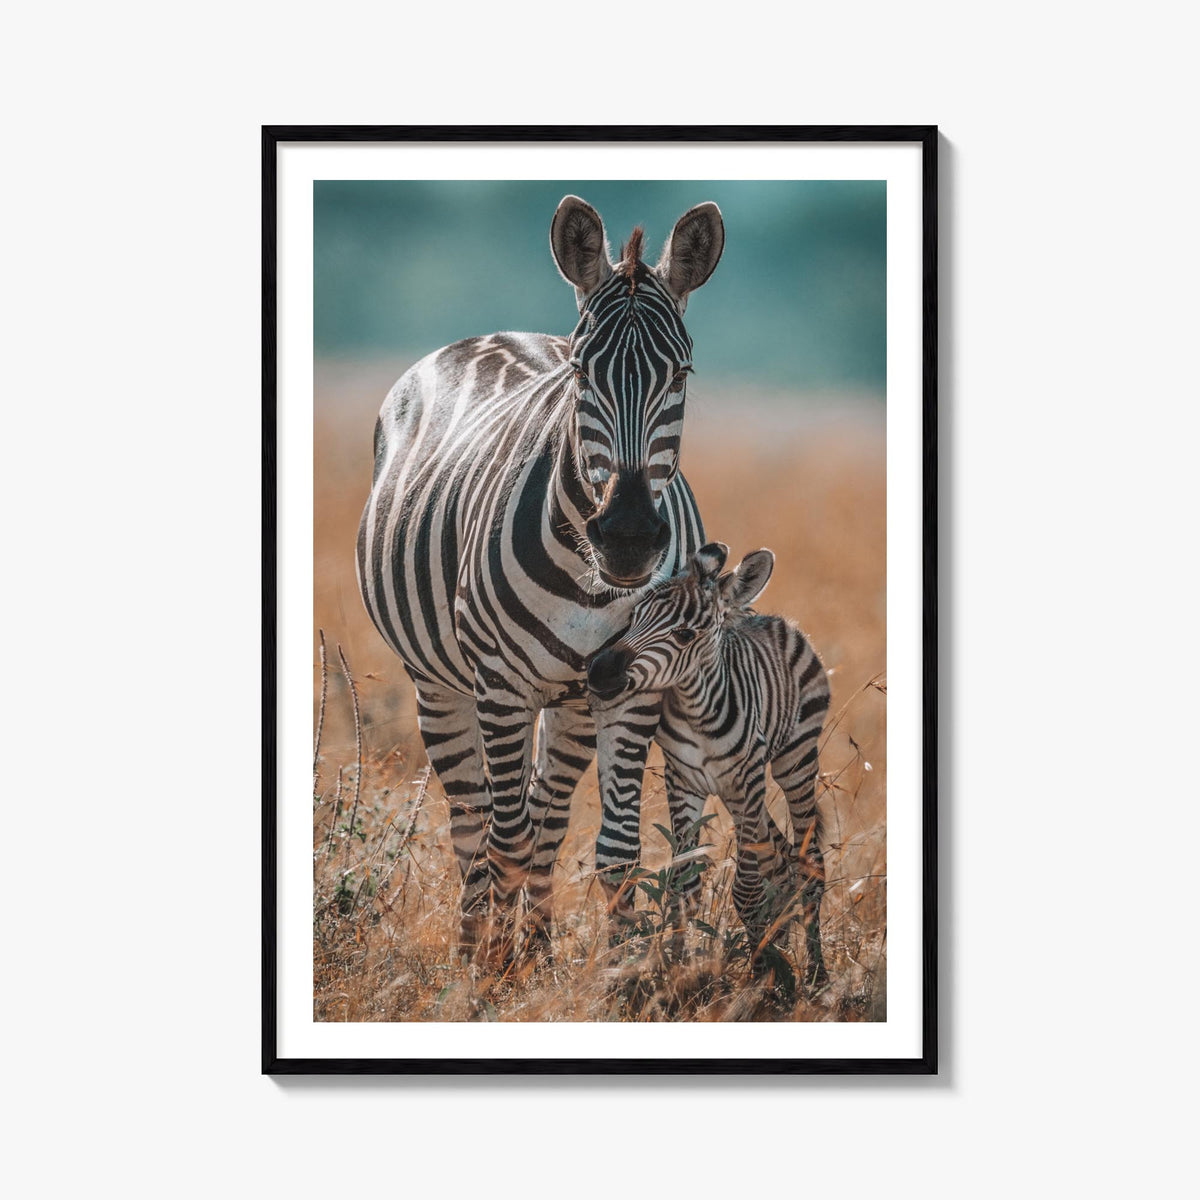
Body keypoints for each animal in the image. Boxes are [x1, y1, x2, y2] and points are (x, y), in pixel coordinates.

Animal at [356, 195, 726, 957]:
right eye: (583, 374)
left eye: (681, 375)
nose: (629, 537)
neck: (593, 584)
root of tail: (497, 333)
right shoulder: (499, 683)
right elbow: (505, 841)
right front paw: (498, 970)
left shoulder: (632, 687)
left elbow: (615, 851)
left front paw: (621, 971)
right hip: (440, 683)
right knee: (476, 825)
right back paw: (477, 951)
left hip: (573, 700)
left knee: (547, 816)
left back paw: (539, 947)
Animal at [586, 542, 832, 984]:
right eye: (634, 615)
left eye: (684, 635)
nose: (598, 672)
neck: (697, 710)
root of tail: (774, 619)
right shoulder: (682, 781)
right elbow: (682, 885)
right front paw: (679, 970)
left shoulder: (748, 780)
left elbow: (747, 890)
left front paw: (760, 978)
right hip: (739, 791)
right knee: (781, 858)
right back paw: (782, 947)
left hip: (795, 760)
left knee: (809, 864)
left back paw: (816, 976)